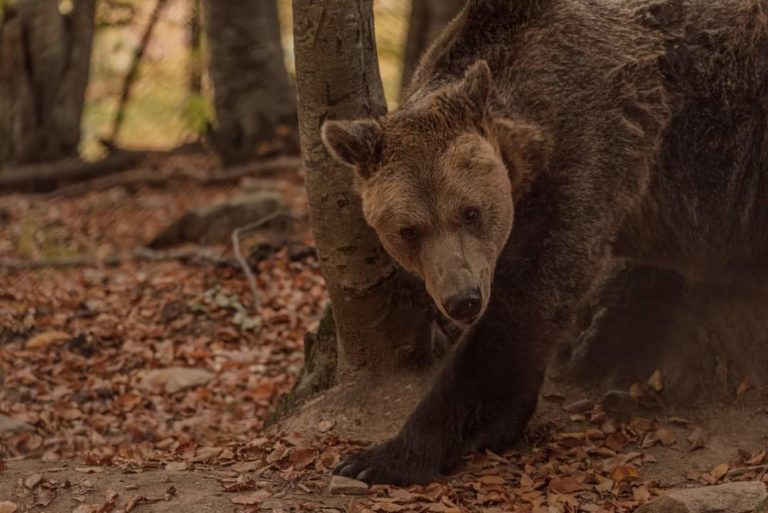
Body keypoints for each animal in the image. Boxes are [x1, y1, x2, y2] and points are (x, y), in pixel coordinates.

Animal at [320, 0, 768, 484]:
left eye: (470, 212)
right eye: (408, 231)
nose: (463, 300)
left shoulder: (592, 149)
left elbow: (525, 304)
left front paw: (385, 456)